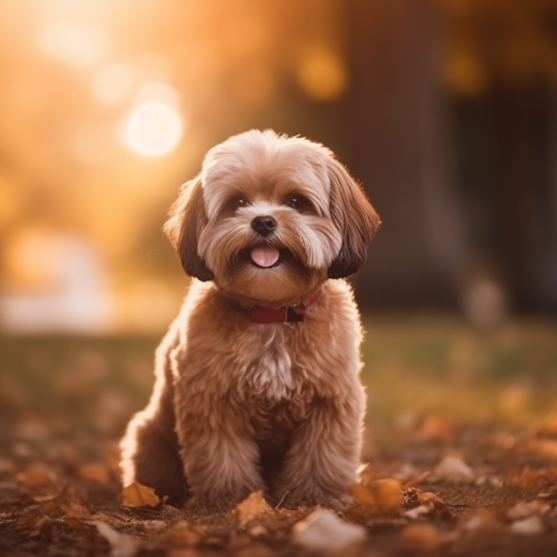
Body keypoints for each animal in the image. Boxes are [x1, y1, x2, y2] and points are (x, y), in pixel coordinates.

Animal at [119, 130, 380, 508]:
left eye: (297, 201)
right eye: (237, 203)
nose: (264, 221)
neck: (270, 312)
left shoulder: (330, 401)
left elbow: (323, 455)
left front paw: (317, 496)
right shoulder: (213, 400)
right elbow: (222, 457)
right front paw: (230, 498)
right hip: (149, 435)